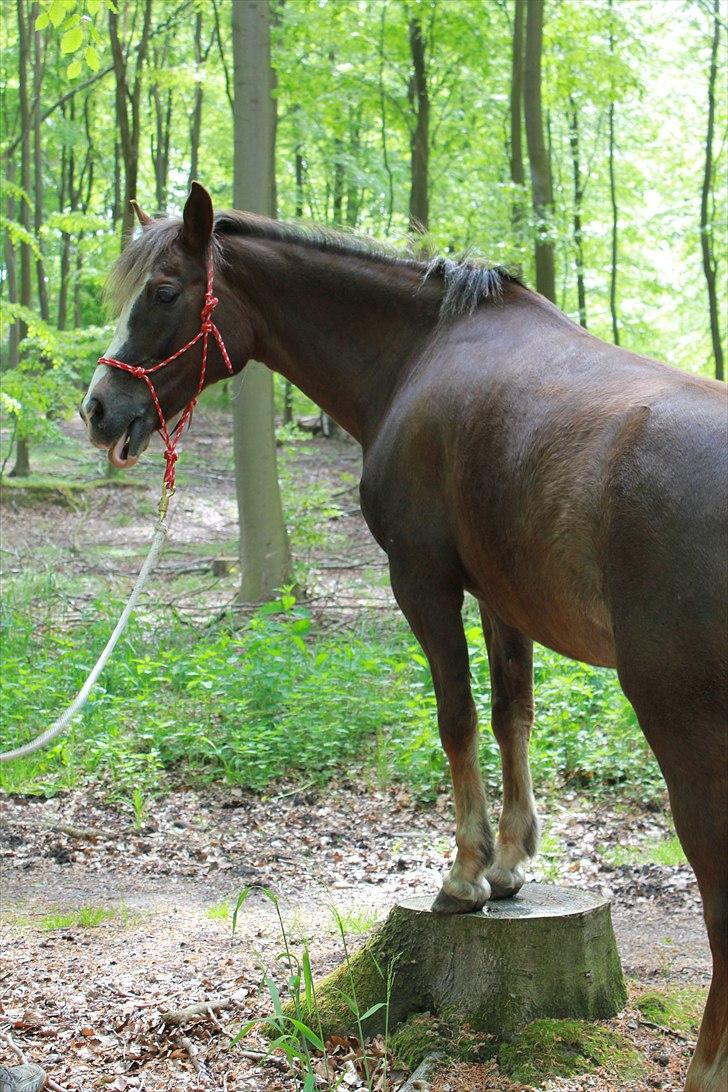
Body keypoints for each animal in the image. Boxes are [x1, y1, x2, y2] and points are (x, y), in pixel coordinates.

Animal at [82, 183, 724, 1087]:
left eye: (166, 289)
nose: (99, 409)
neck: (417, 354)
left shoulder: (422, 580)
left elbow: (457, 718)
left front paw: (465, 874)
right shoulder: (500, 597)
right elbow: (512, 715)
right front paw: (511, 862)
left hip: (683, 723)